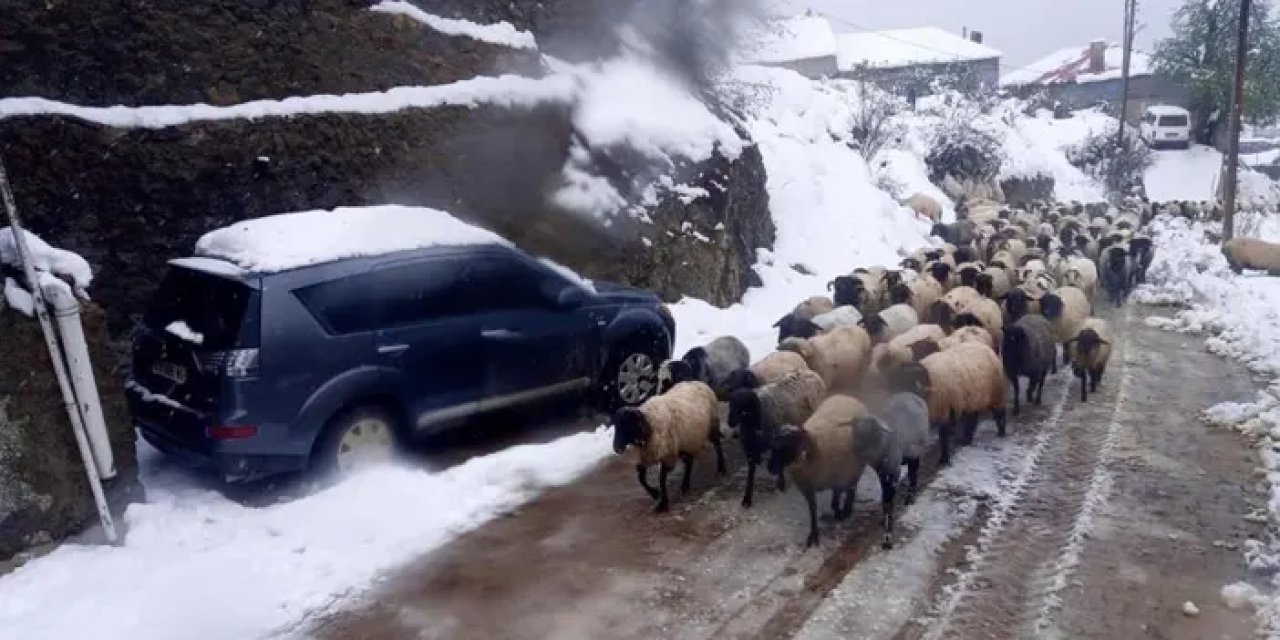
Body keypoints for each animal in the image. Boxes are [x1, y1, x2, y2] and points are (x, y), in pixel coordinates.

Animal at [611, 381, 727, 512]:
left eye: (628, 424)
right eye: (616, 426)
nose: (616, 448)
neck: (650, 424)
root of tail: (699, 382)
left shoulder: (668, 455)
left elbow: (661, 479)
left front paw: (663, 503)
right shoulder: (646, 456)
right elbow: (641, 477)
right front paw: (655, 494)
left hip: (712, 425)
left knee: (718, 446)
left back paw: (721, 469)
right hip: (686, 441)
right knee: (689, 461)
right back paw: (685, 486)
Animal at [727, 368, 824, 506]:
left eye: (743, 404)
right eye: (731, 403)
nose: (730, 422)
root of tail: (809, 371)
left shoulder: (775, 442)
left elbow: (777, 464)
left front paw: (781, 484)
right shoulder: (751, 451)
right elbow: (750, 475)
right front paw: (747, 499)